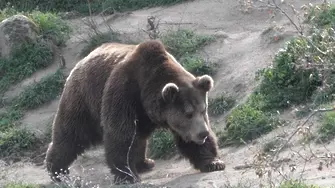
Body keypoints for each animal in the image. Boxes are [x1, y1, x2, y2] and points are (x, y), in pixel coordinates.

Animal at [44, 39, 227, 184]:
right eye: (188, 114)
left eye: (203, 110)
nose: (202, 133)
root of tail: (81, 61)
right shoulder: (124, 92)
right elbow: (120, 134)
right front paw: (127, 175)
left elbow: (188, 140)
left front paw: (214, 162)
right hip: (84, 99)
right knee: (72, 134)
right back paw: (58, 171)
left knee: (139, 137)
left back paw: (145, 163)